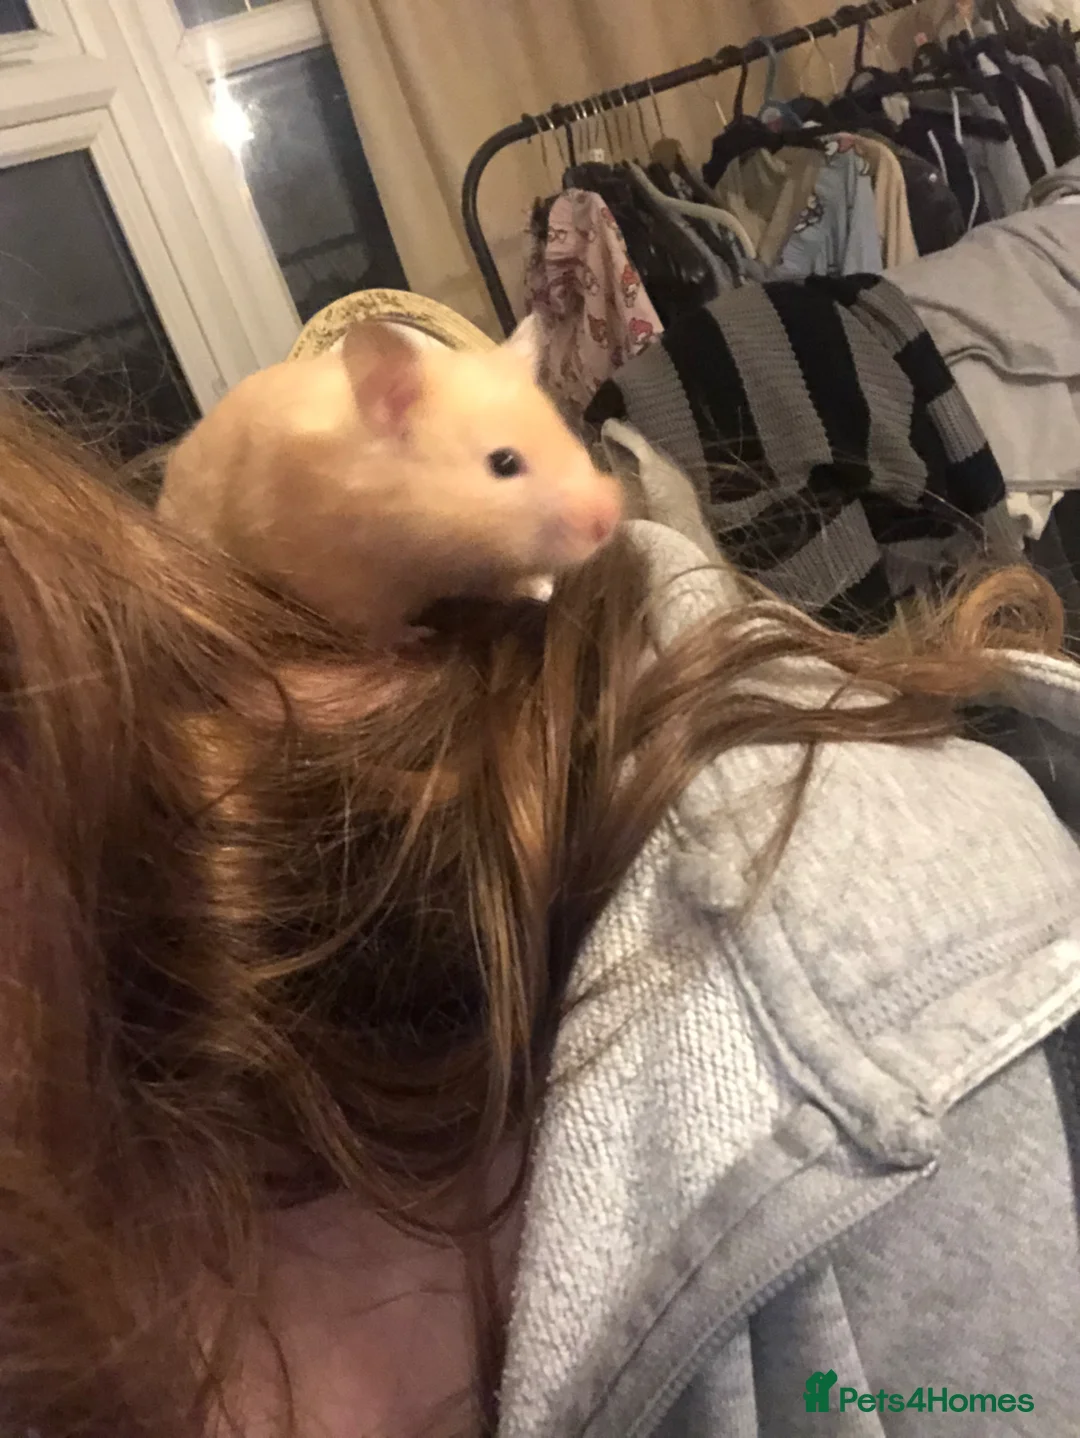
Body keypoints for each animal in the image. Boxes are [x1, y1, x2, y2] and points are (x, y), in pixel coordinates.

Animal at [157, 316, 623, 644]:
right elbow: (376, 628)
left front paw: (542, 587)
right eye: (504, 463)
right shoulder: (341, 585)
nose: (609, 519)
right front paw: (418, 636)